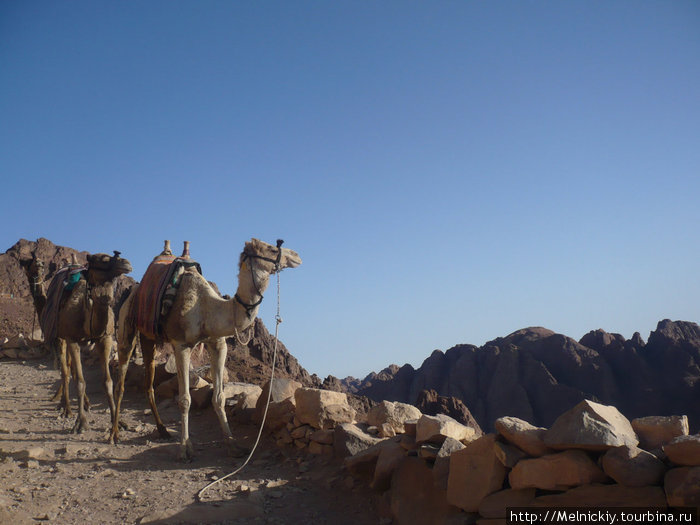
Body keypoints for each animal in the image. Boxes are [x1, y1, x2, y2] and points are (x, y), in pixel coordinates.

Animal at [44, 252, 132, 432]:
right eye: (102, 260)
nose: (125, 263)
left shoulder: (105, 338)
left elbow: (107, 382)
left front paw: (117, 421)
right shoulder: (72, 339)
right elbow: (80, 381)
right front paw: (81, 423)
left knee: (71, 369)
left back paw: (84, 404)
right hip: (60, 337)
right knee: (66, 371)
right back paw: (67, 408)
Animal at [110, 237, 302, 458]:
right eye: (271, 248)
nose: (297, 255)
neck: (206, 308)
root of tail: (134, 290)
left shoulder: (217, 344)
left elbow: (219, 398)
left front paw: (233, 445)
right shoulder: (181, 345)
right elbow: (185, 399)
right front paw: (185, 449)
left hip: (148, 337)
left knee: (148, 381)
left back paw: (162, 430)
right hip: (126, 326)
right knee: (120, 381)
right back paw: (114, 434)